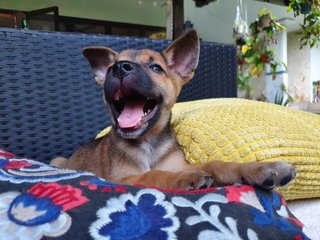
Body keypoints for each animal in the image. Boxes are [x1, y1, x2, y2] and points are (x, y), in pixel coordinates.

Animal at [50, 30, 298, 190]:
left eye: (156, 68)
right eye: (111, 67)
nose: (118, 68)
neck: (147, 143)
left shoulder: (180, 164)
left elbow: (216, 164)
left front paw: (261, 169)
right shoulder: (121, 179)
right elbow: (153, 174)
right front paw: (184, 179)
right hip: (57, 161)